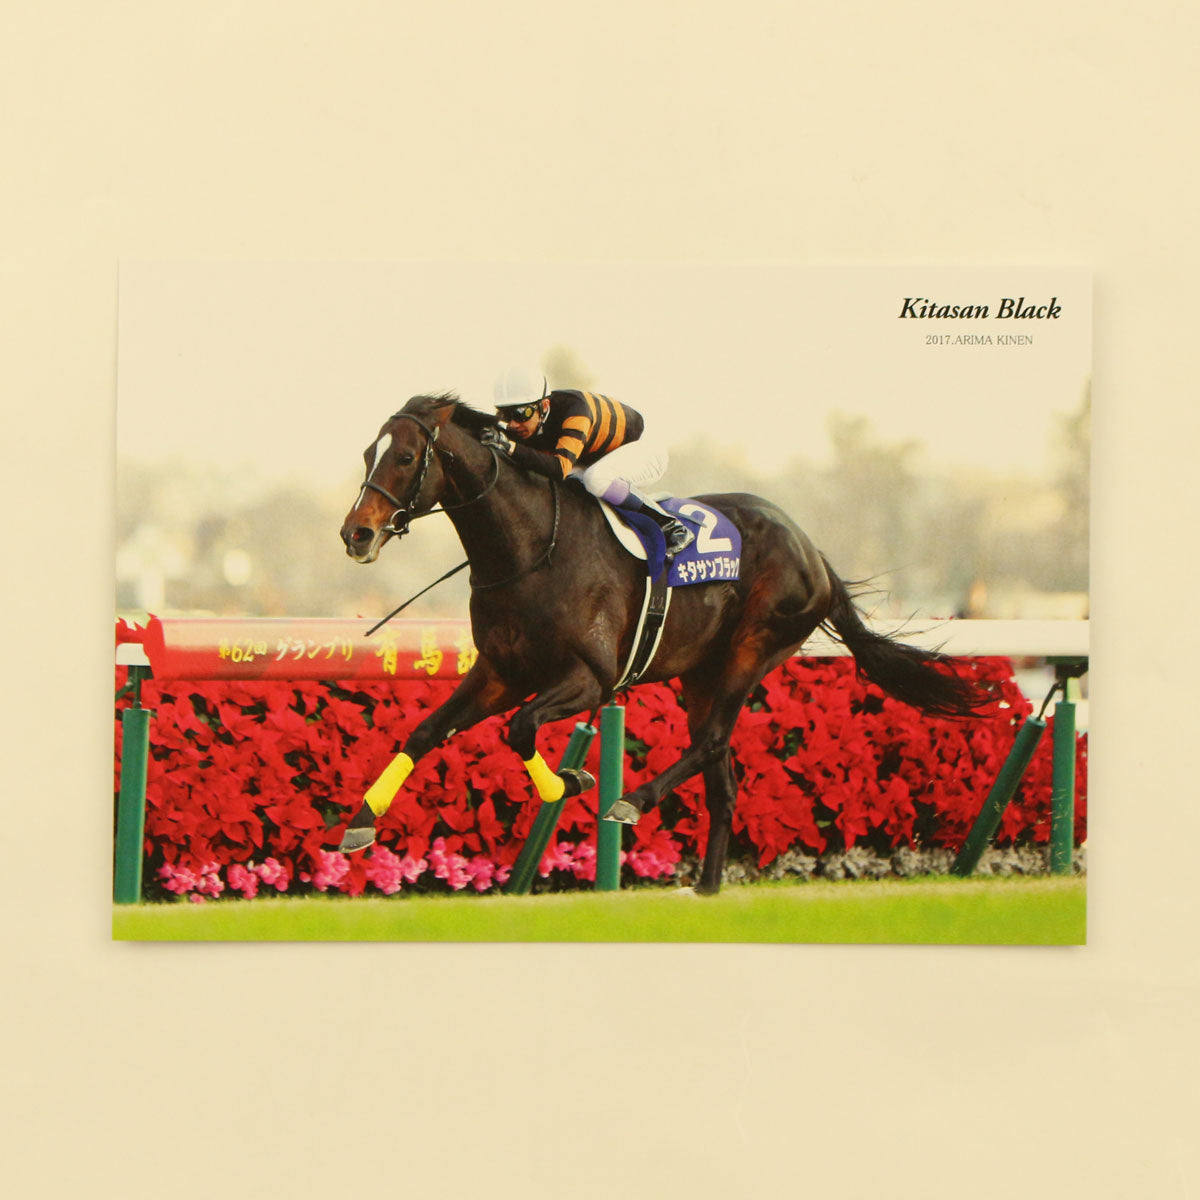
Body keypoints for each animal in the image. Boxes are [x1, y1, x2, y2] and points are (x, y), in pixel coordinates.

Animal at [337, 393, 983, 894]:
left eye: (403, 457)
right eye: (368, 453)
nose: (355, 534)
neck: (528, 550)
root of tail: (813, 550)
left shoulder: (589, 678)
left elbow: (519, 730)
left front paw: (575, 781)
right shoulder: (500, 672)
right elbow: (424, 732)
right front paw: (360, 822)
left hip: (753, 648)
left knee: (712, 742)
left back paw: (634, 801)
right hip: (702, 674)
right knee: (722, 777)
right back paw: (707, 887)